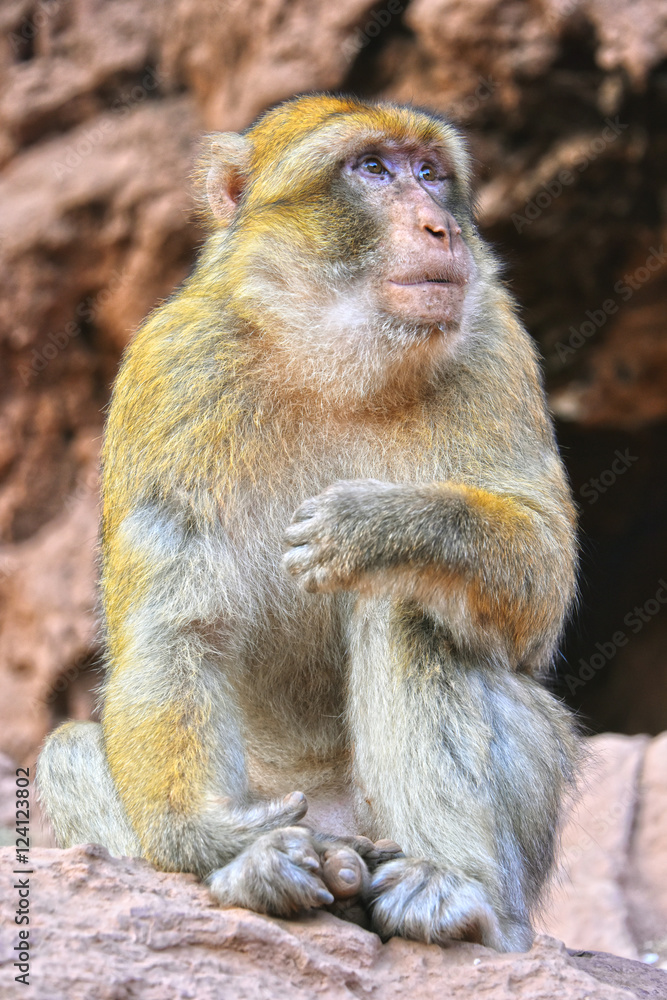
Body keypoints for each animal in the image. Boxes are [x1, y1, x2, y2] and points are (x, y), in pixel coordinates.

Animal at [37, 93, 578, 952]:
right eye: (372, 169)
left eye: (429, 172)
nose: (441, 227)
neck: (330, 356)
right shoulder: (171, 369)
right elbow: (176, 630)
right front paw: (215, 841)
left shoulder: (496, 342)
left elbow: (540, 574)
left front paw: (383, 523)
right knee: (67, 750)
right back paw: (270, 870)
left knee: (409, 608)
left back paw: (451, 891)